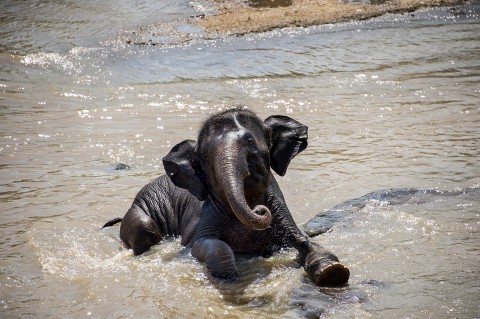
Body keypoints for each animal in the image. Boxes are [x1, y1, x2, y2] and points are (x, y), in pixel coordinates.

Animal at [103, 109, 348, 286]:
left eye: (252, 144)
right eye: (205, 157)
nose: (260, 209)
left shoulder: (279, 207)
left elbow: (302, 238)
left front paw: (333, 272)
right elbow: (202, 244)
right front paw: (229, 276)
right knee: (144, 229)